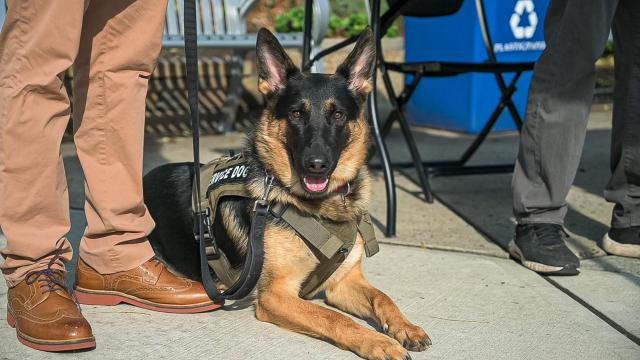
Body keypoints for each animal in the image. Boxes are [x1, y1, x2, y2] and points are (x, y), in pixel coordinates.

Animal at [142, 28, 428, 360]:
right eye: (296, 114)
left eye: (338, 115)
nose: (316, 164)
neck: (319, 207)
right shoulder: (276, 294)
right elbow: (333, 317)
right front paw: (378, 342)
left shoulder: (343, 282)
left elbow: (383, 298)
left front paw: (405, 327)